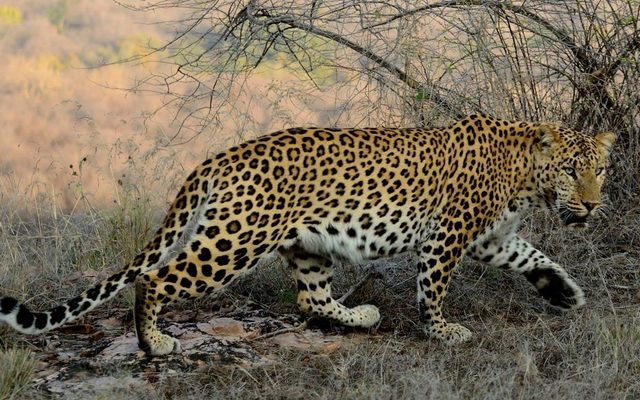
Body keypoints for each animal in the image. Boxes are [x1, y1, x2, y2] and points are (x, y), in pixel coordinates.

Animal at [0, 114, 616, 356]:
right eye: (570, 171)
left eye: (600, 170)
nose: (590, 203)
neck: (526, 180)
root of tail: (218, 158)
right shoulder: (449, 234)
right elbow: (434, 289)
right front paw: (444, 331)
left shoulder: (492, 238)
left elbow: (535, 257)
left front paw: (565, 293)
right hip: (233, 240)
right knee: (154, 278)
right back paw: (154, 342)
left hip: (307, 245)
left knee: (309, 297)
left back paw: (361, 315)